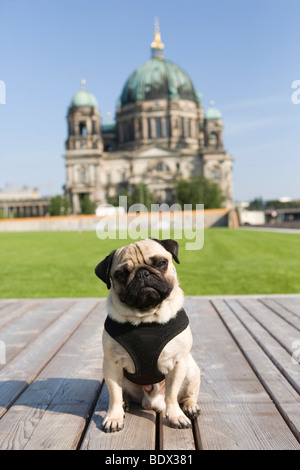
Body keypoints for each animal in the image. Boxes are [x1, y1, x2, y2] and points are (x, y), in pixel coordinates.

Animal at [95, 239, 200, 434]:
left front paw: (176, 416)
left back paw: (190, 407)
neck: (146, 319)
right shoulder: (112, 365)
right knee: (122, 394)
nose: (142, 273)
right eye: (121, 274)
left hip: (190, 369)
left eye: (161, 263)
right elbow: (114, 395)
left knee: (188, 394)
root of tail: (151, 403)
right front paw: (114, 417)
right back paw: (124, 404)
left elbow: (172, 395)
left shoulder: (178, 363)